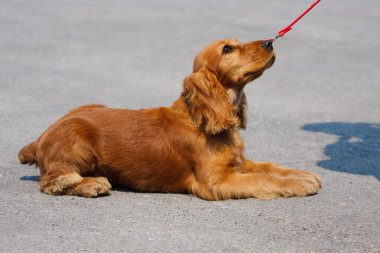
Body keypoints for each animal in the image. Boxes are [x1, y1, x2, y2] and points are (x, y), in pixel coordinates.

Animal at [17, 39, 320, 200]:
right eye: (227, 49)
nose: (270, 41)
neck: (198, 118)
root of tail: (39, 139)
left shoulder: (236, 163)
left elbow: (269, 167)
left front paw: (304, 174)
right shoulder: (216, 182)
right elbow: (262, 179)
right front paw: (299, 184)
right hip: (78, 140)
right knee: (53, 181)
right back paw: (93, 184)